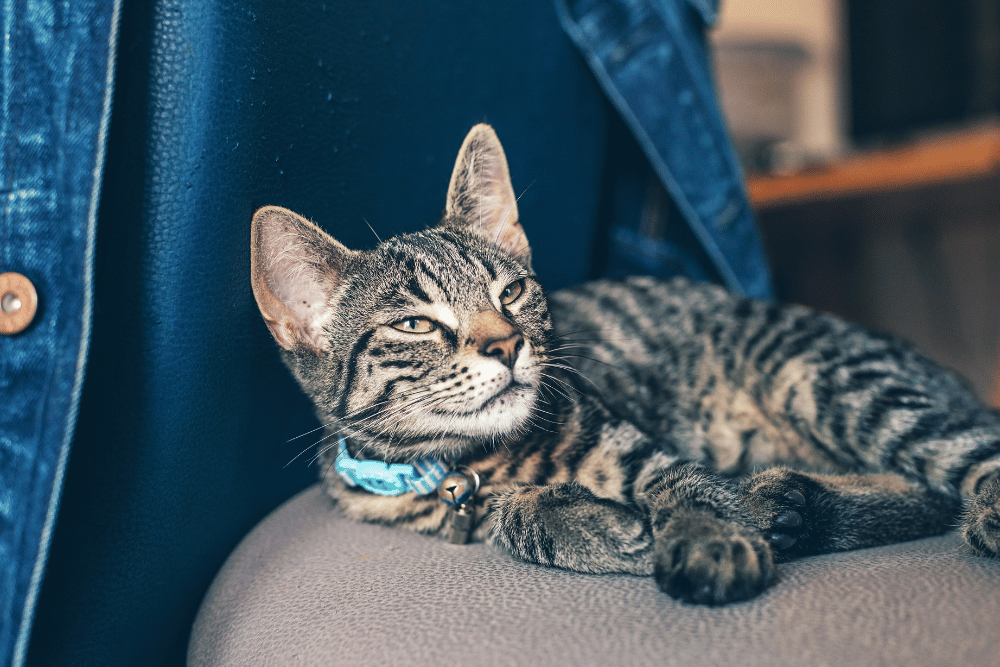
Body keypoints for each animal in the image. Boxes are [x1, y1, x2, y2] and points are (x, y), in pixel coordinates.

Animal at [252, 124, 1000, 604]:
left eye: (511, 292)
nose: (506, 344)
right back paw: (790, 507)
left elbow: (686, 487)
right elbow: (515, 520)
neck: (477, 461)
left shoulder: (639, 444)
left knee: (959, 459)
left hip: (829, 378)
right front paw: (604, 529)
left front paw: (705, 537)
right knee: (923, 491)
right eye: (414, 324)